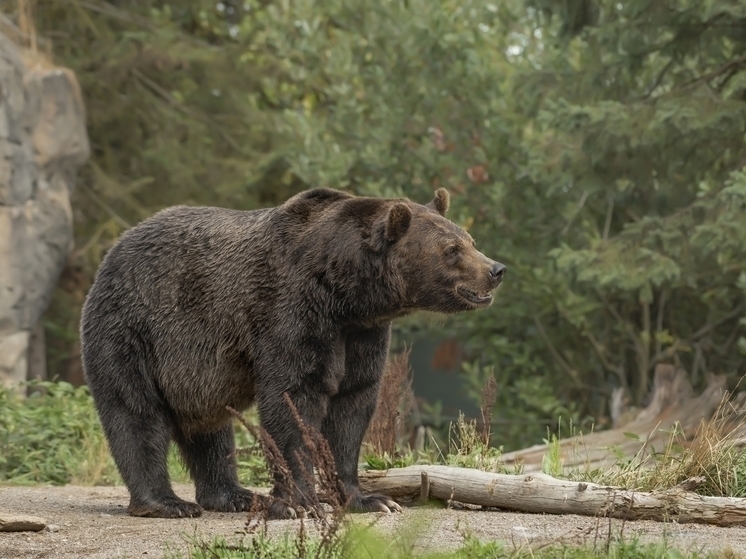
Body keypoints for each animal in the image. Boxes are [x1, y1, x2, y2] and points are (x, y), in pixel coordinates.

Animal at [78, 188, 502, 520]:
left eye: (469, 239)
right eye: (451, 250)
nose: (496, 269)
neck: (345, 293)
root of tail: (113, 250)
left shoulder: (361, 335)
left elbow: (352, 406)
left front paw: (368, 499)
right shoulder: (291, 311)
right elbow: (293, 400)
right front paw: (301, 502)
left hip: (194, 372)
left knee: (210, 430)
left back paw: (233, 495)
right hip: (134, 329)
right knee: (136, 413)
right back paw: (166, 503)